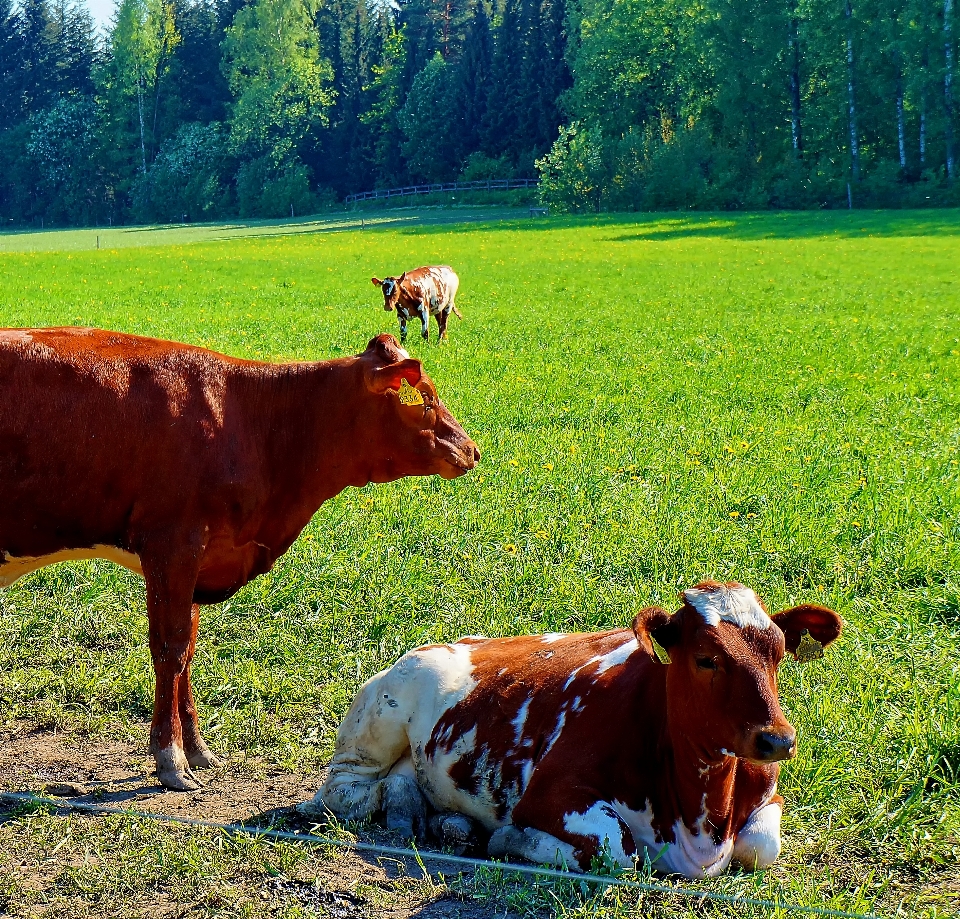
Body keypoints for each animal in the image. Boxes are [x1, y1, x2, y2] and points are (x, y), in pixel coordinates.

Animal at [0, 328, 480, 792]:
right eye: (424, 397)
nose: (472, 450)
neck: (255, 421)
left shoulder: (199, 560)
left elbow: (188, 649)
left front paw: (196, 748)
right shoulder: (172, 544)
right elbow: (170, 649)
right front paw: (170, 759)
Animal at [302, 584, 840, 880]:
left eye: (777, 652)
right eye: (707, 658)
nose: (778, 739)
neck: (699, 816)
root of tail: (450, 641)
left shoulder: (767, 795)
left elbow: (760, 847)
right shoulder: (548, 794)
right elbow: (617, 849)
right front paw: (510, 840)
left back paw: (443, 820)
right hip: (377, 718)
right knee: (345, 792)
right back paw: (404, 809)